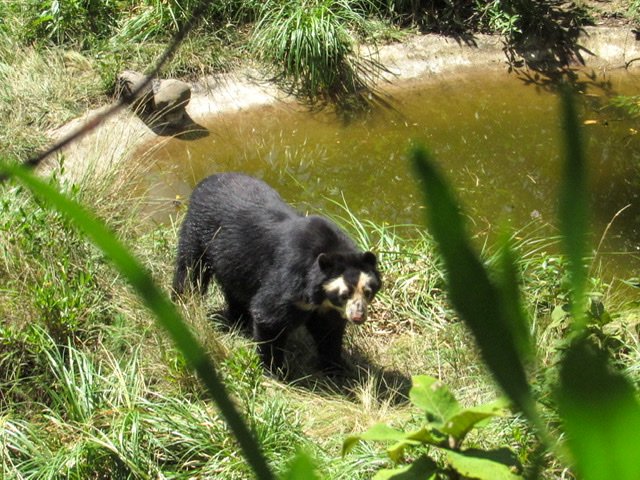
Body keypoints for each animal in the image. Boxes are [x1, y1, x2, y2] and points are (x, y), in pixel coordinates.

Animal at [172, 172, 382, 376]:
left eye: (368, 292)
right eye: (344, 294)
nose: (358, 316)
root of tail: (207, 179)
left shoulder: (326, 307)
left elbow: (328, 330)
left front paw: (336, 368)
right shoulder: (290, 276)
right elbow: (269, 316)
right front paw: (274, 371)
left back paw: (238, 320)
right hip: (199, 231)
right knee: (190, 270)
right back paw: (183, 304)